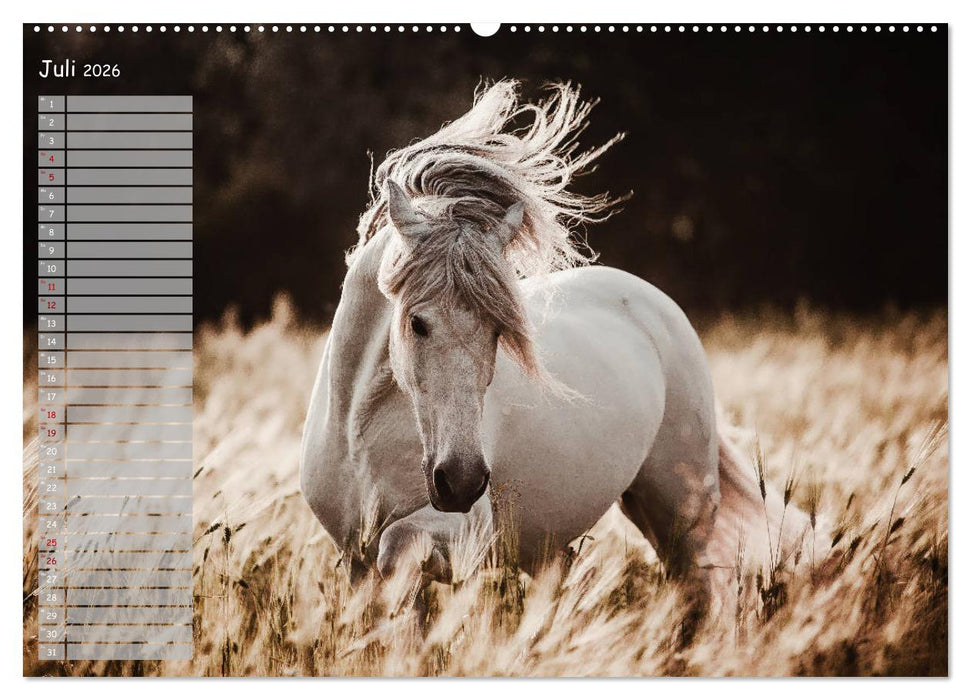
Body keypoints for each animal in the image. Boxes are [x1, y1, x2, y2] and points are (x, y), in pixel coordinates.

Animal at [300, 80, 819, 614]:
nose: (461, 481)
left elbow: (395, 548)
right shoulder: (353, 560)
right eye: (417, 323)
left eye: (497, 331)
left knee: (701, 587)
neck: (360, 429)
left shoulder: (459, 533)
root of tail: (655, 305)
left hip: (681, 509)